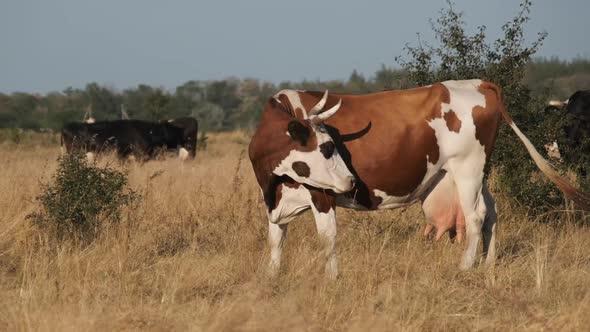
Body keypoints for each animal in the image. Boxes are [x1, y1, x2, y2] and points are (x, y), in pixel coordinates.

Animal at [249, 80, 590, 278]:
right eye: (326, 147)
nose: (351, 182)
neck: (273, 183)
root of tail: (476, 82)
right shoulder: (275, 201)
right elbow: (276, 238)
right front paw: (272, 277)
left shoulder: (321, 195)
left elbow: (327, 238)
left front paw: (332, 279)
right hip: (478, 174)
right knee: (491, 213)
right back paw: (488, 264)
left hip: (468, 169)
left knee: (476, 216)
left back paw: (465, 267)